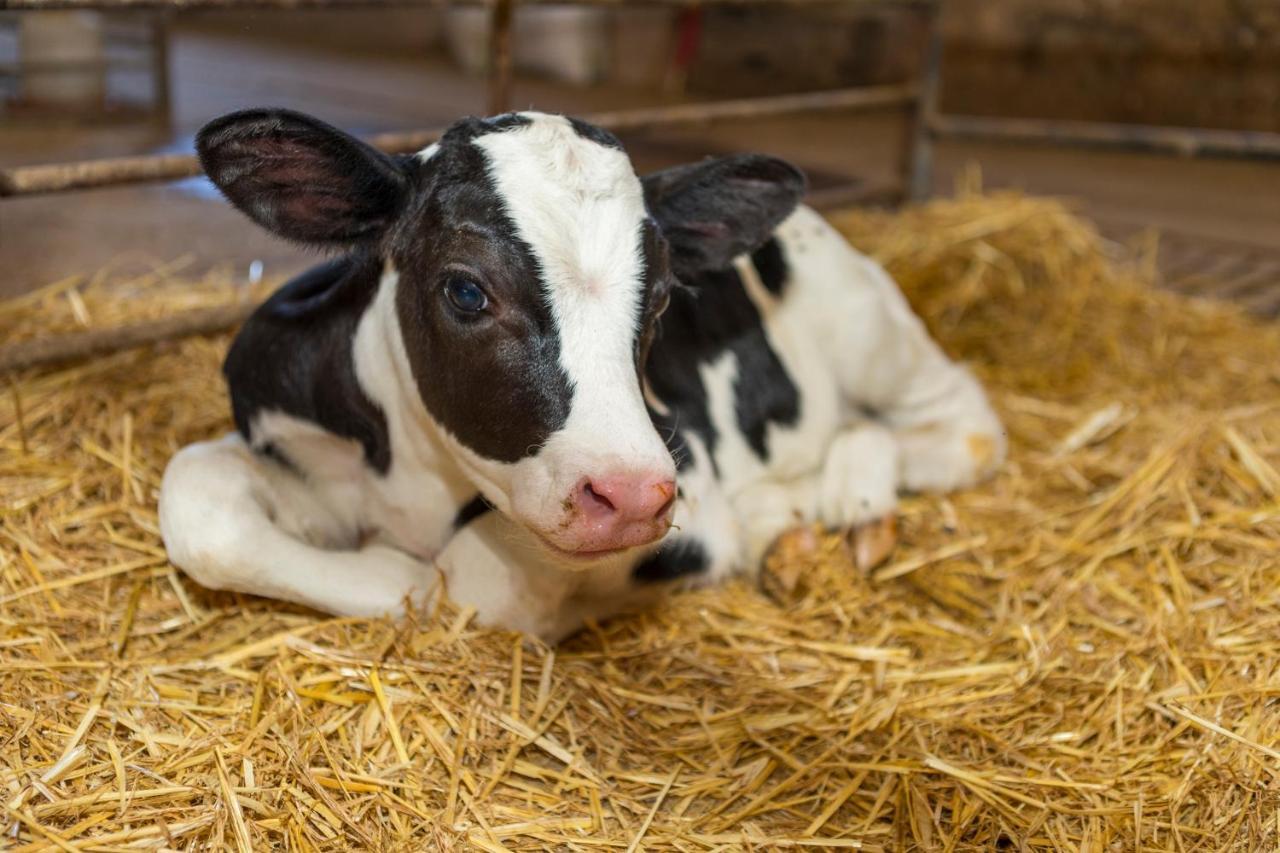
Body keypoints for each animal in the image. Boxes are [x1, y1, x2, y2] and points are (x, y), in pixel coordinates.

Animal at [160, 108, 1003, 637]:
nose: (631, 495)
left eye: (660, 297)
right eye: (466, 290)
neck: (415, 482)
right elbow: (198, 507)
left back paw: (857, 502)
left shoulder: (683, 481)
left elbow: (468, 580)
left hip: (874, 332)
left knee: (964, 425)